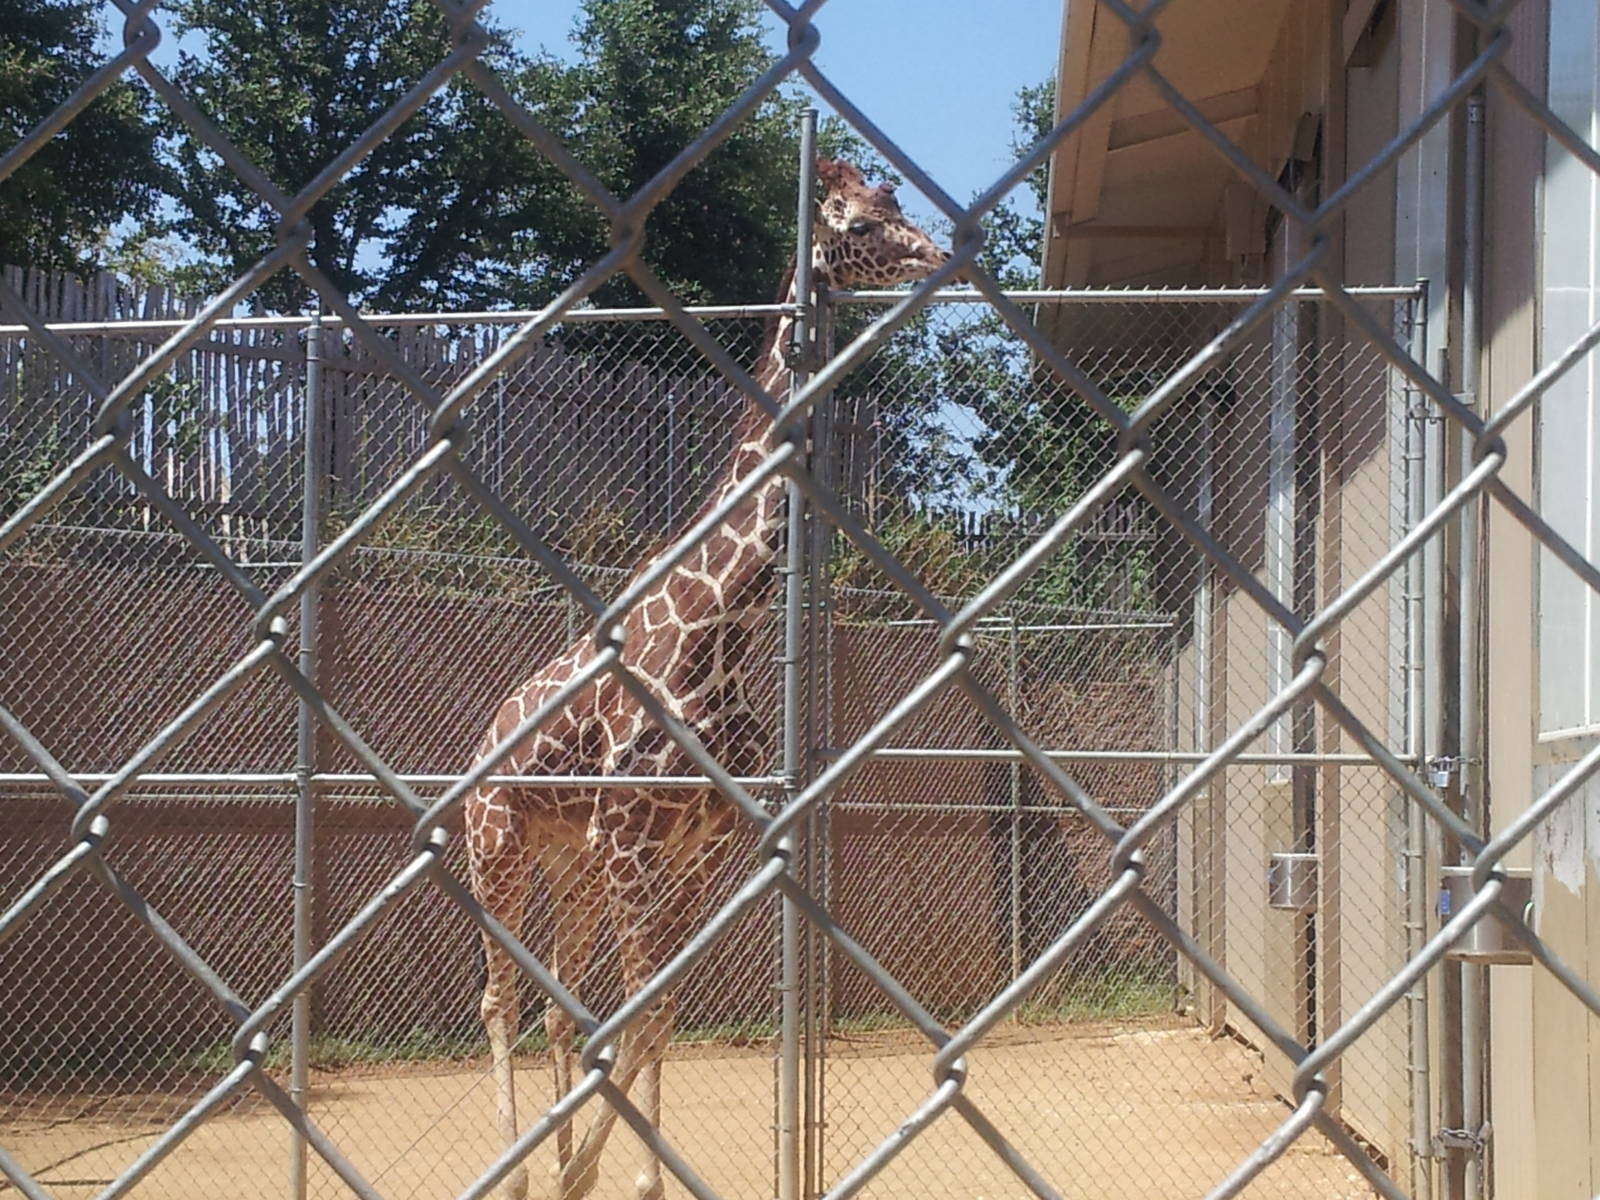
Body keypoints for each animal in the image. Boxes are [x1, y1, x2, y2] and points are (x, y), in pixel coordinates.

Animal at [466, 158, 952, 1200]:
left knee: (558, 1002)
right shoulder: (631, 843)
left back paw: (558, 1159)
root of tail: (486, 735)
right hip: (500, 850)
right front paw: (614, 1176)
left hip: (570, 864)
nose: (937, 255)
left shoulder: (699, 851)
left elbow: (660, 1011)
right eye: (855, 221)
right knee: (498, 997)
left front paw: (613, 1175)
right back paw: (518, 1169)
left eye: (896, 201)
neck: (719, 633)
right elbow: (634, 1012)